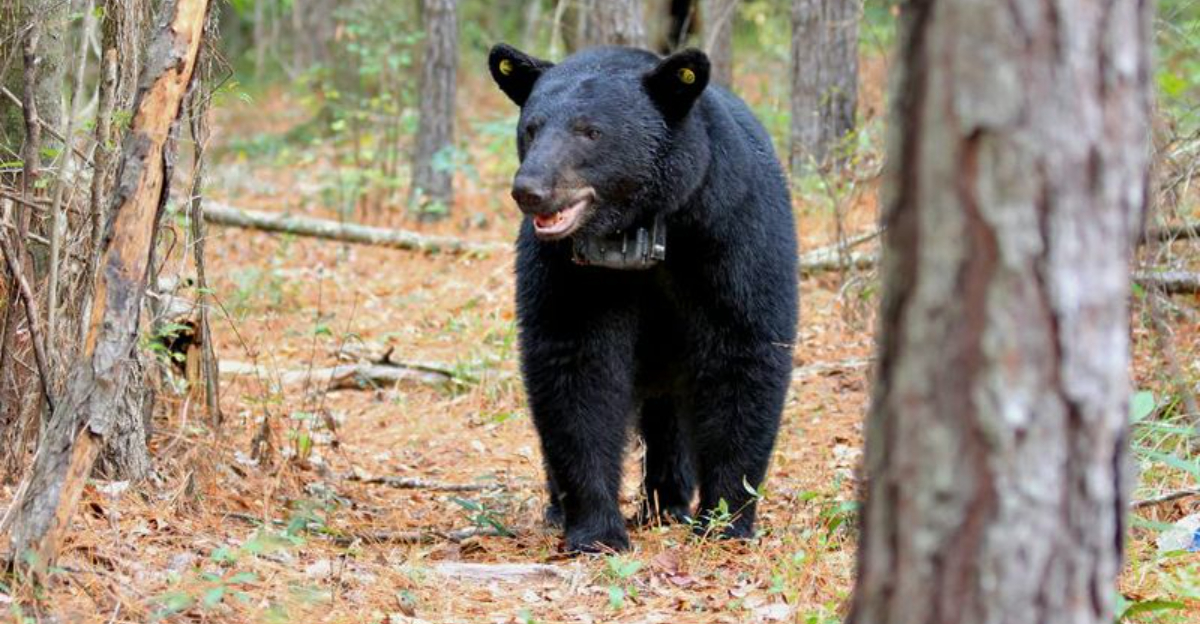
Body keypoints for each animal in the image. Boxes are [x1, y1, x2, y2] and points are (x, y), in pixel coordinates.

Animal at [488, 43, 798, 553]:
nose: (530, 191)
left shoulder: (731, 229)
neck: (642, 231)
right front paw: (596, 529)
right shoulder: (569, 269)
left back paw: (669, 502)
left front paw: (726, 520)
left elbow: (743, 349)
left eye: (590, 131)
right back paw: (564, 507)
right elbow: (577, 365)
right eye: (530, 128)